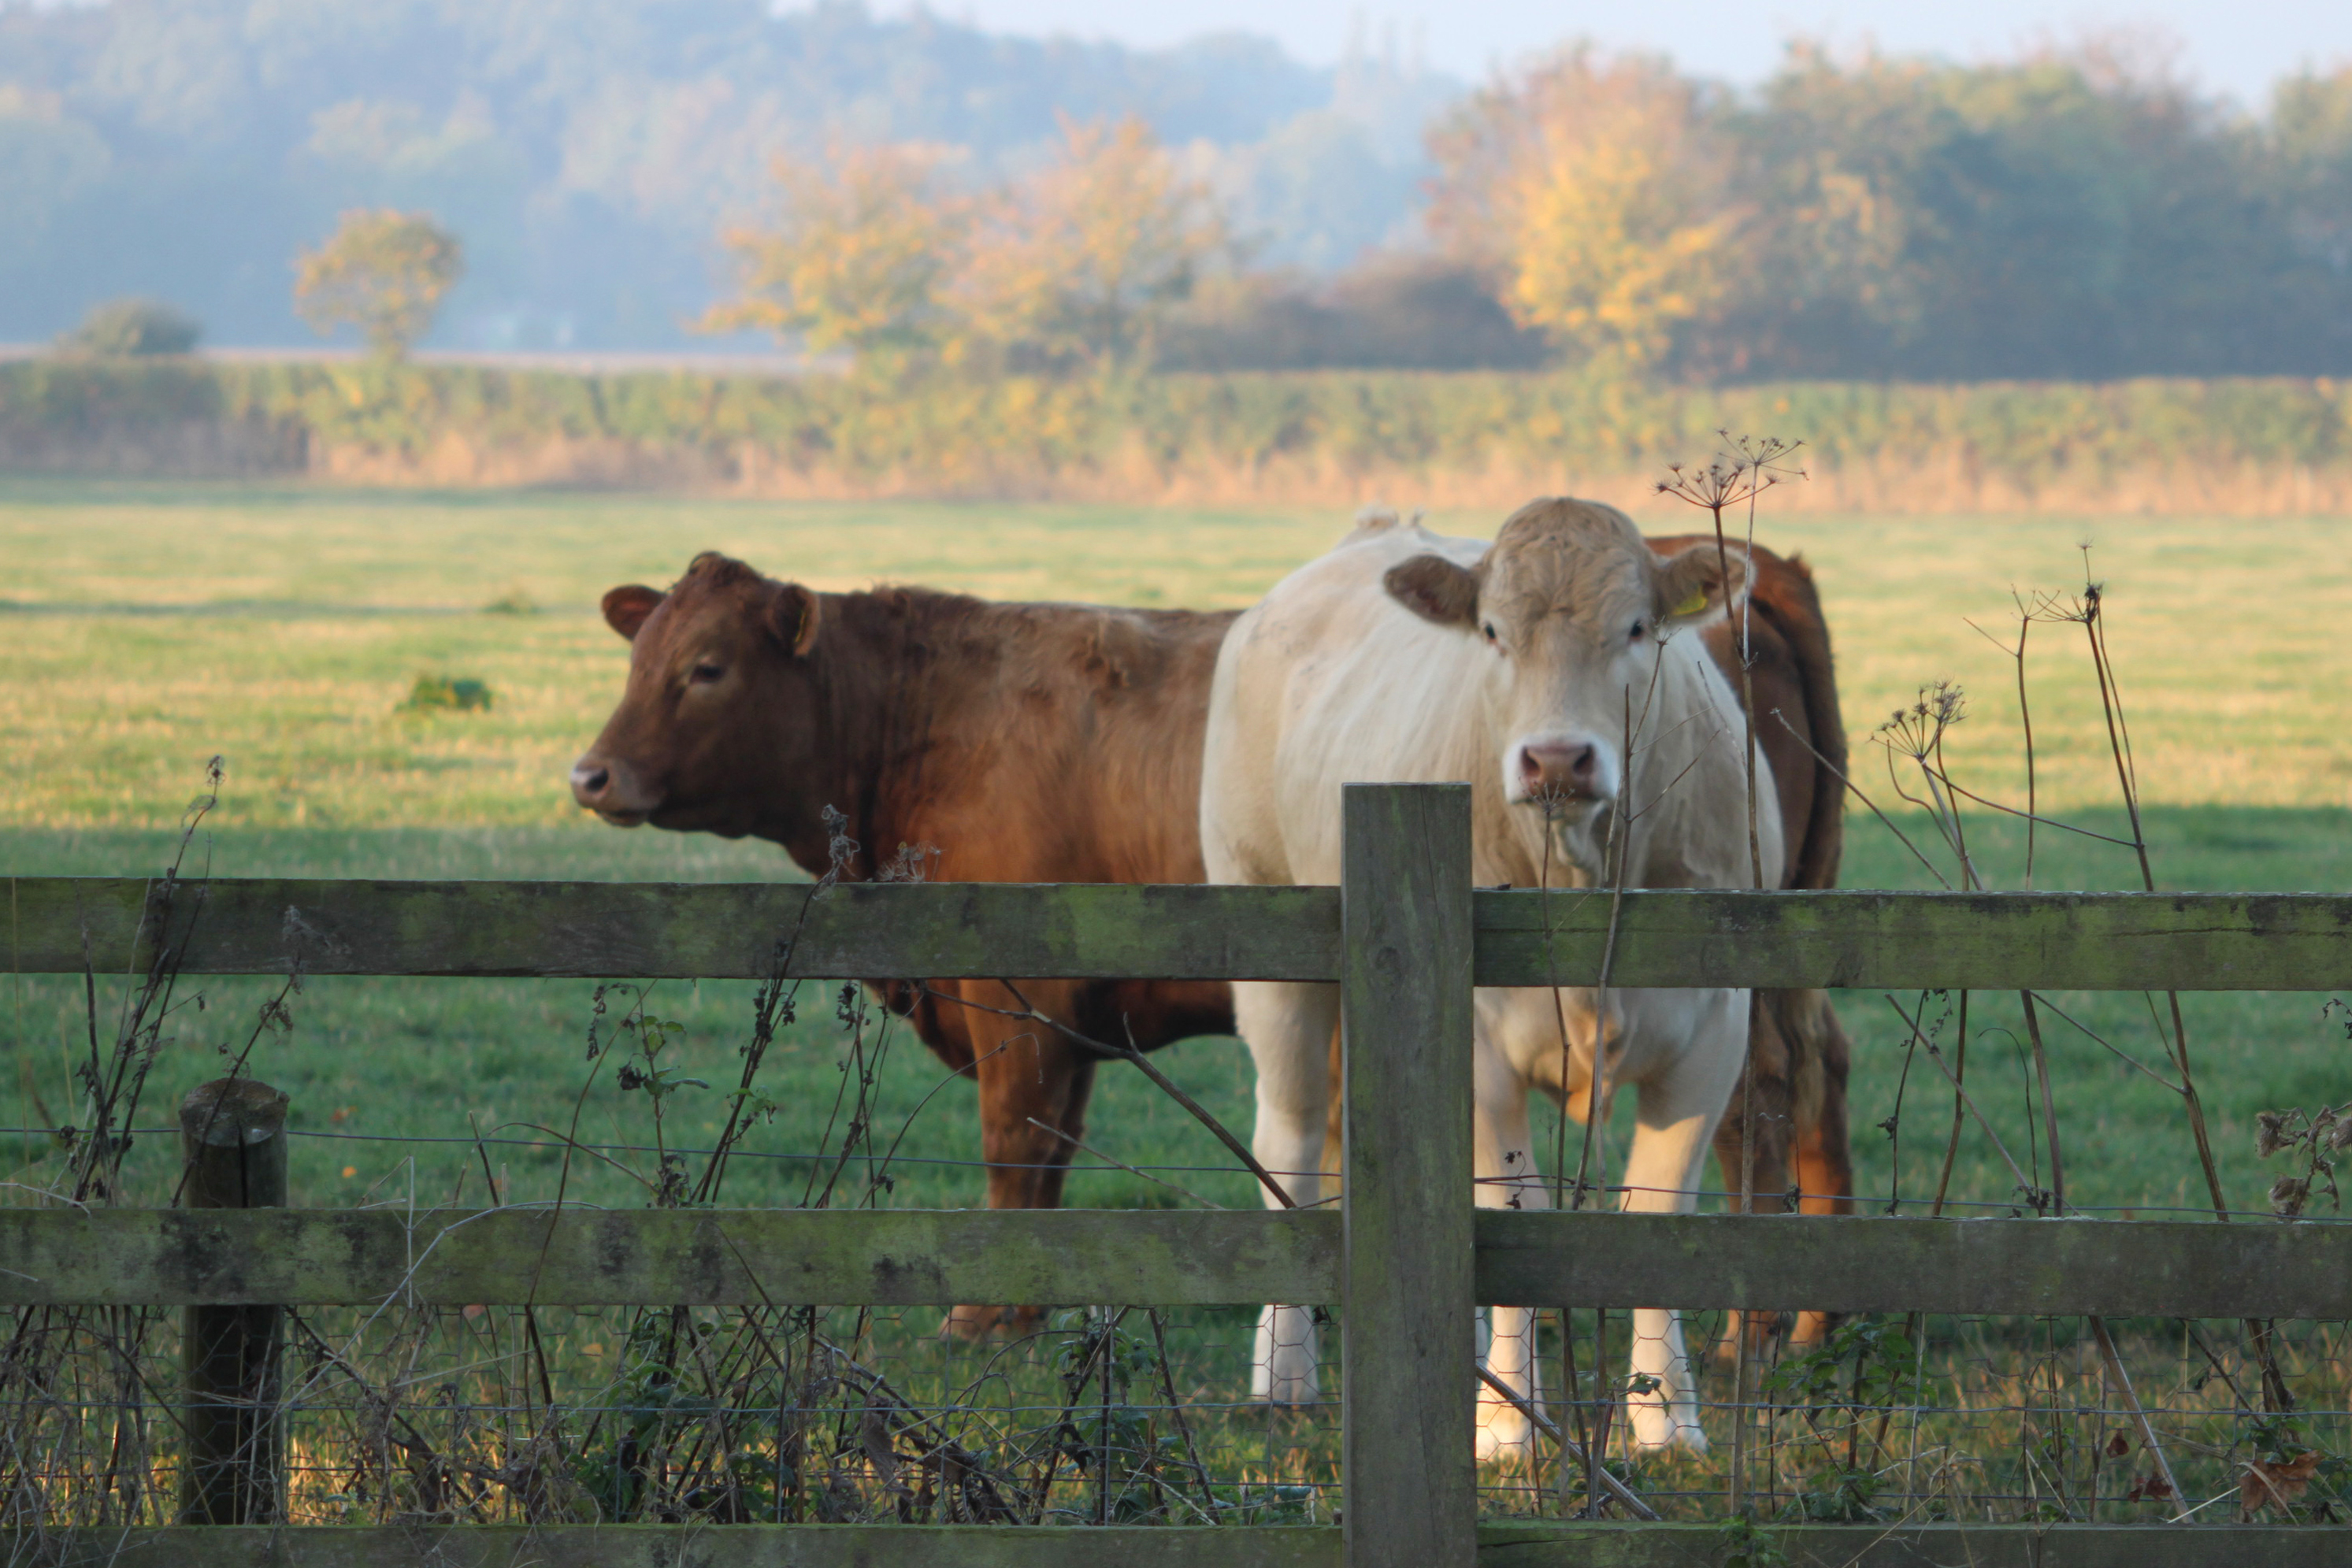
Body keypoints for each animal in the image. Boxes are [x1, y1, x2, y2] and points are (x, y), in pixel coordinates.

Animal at [573, 543, 1853, 1335]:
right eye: (640, 658)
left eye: (706, 667)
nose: (592, 773)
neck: (926, 717)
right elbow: (1047, 1156)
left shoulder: (1017, 998)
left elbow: (1012, 1147)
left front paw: (983, 1314)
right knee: (1816, 1071)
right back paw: (1805, 1319)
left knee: (1758, 1098)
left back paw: (1751, 1322)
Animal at [1204, 500, 1787, 1457]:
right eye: (1490, 632)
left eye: (1637, 627)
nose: (1555, 760)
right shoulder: (1476, 1045)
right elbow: (1513, 1210)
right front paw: (1509, 1428)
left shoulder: (1715, 1025)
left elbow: (1656, 1207)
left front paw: (1665, 1420)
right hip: (1265, 943)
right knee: (1288, 1143)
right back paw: (1284, 1373)